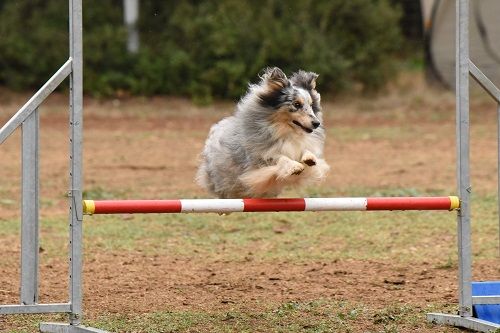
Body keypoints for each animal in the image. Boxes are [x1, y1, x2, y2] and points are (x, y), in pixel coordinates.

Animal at [197, 67, 330, 197]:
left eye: (311, 105)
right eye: (296, 104)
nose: (317, 123)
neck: (286, 132)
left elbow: (307, 153)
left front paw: (310, 158)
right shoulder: (258, 162)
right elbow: (279, 157)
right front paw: (294, 166)